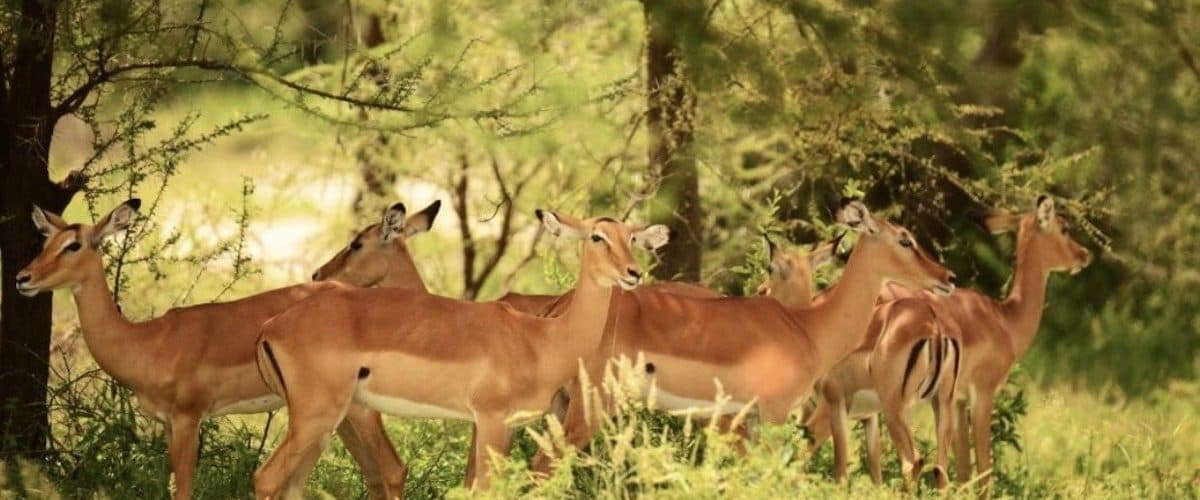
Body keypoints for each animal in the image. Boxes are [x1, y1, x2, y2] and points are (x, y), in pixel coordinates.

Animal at [12, 200, 367, 499]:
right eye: (45, 243)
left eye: (73, 245)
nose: (22, 278)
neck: (148, 342)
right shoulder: (168, 424)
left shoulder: (188, 419)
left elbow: (183, 489)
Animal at [251, 210, 670, 497]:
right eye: (597, 236)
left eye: (632, 237)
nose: (633, 273)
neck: (542, 339)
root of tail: (270, 327)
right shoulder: (490, 421)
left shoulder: (504, 427)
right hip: (316, 418)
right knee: (266, 477)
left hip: (324, 425)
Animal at [531, 200, 958, 473]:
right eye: (905, 239)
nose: (948, 277)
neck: (808, 327)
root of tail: (557, 309)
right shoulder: (774, 414)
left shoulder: (748, 420)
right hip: (591, 405)